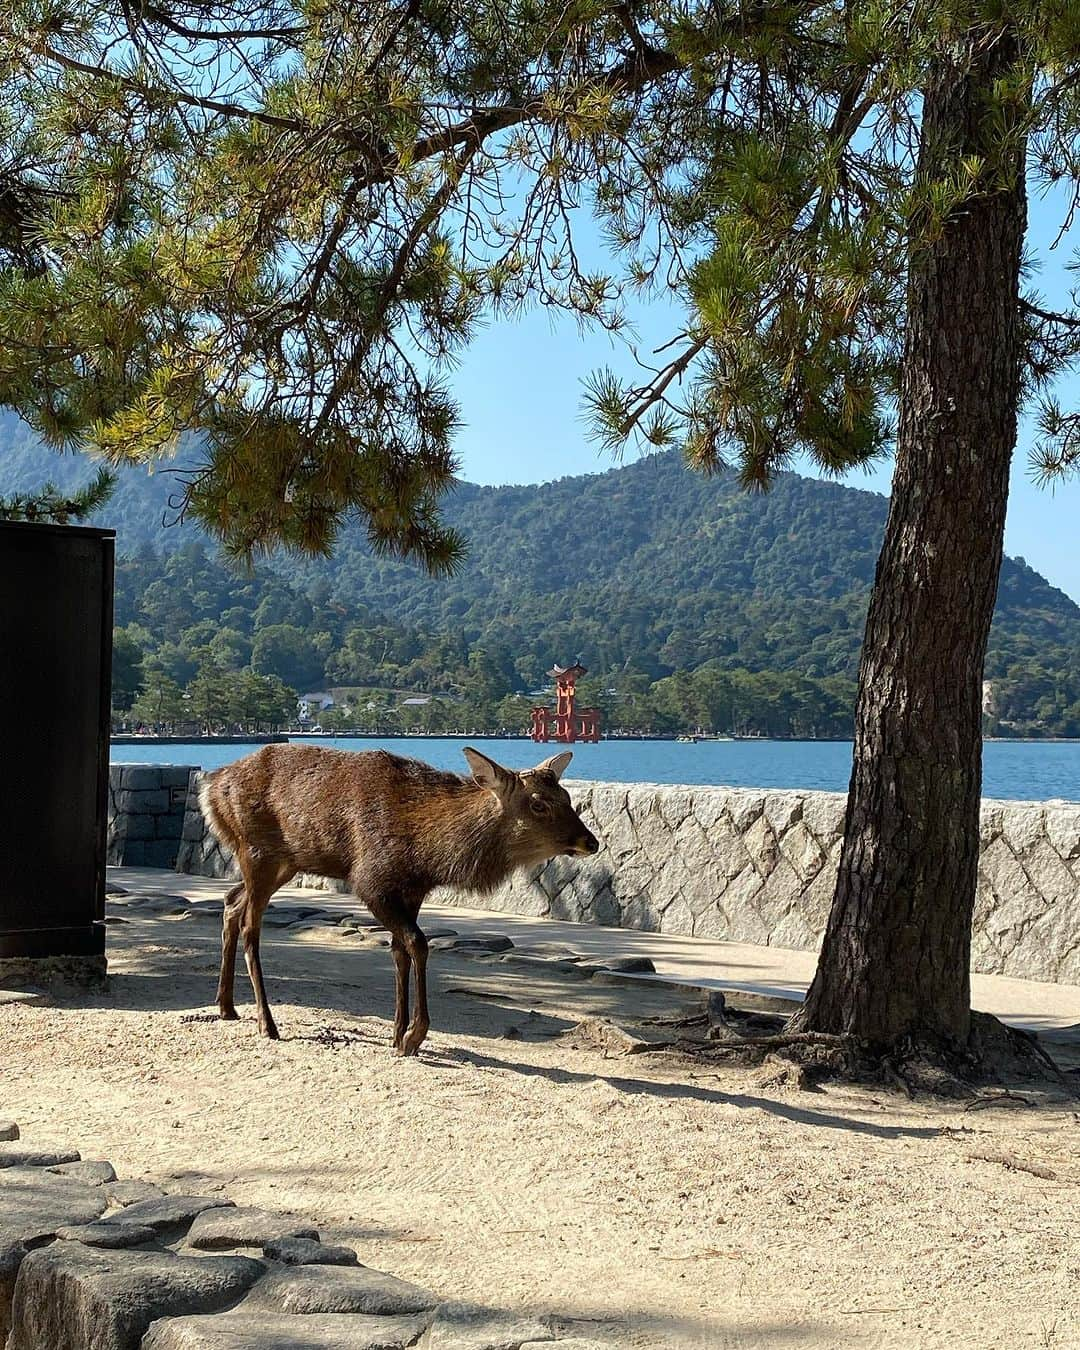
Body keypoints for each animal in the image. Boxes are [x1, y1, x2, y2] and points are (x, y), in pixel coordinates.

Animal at [199, 739, 599, 1053]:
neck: (426, 851)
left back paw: (226, 1006)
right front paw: (414, 1036)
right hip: (257, 851)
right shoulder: (371, 881)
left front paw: (396, 1033)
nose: (590, 842)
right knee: (250, 926)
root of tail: (211, 787)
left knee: (231, 902)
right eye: (538, 804)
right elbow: (418, 943)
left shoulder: (412, 889)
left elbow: (399, 951)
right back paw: (266, 1022)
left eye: (566, 796)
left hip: (284, 861)